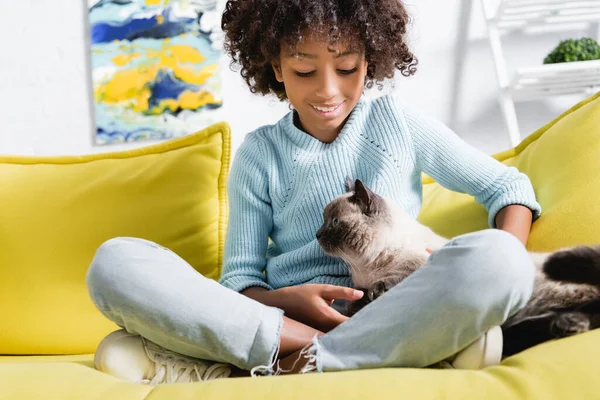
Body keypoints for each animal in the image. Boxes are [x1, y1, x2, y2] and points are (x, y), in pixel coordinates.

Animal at [322, 178, 600, 356]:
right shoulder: (358, 286)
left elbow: (394, 279)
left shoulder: (412, 265)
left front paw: (375, 294)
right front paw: (358, 303)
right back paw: (565, 324)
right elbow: (355, 300)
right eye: (325, 221)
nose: (316, 234)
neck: (365, 267)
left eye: (334, 222)